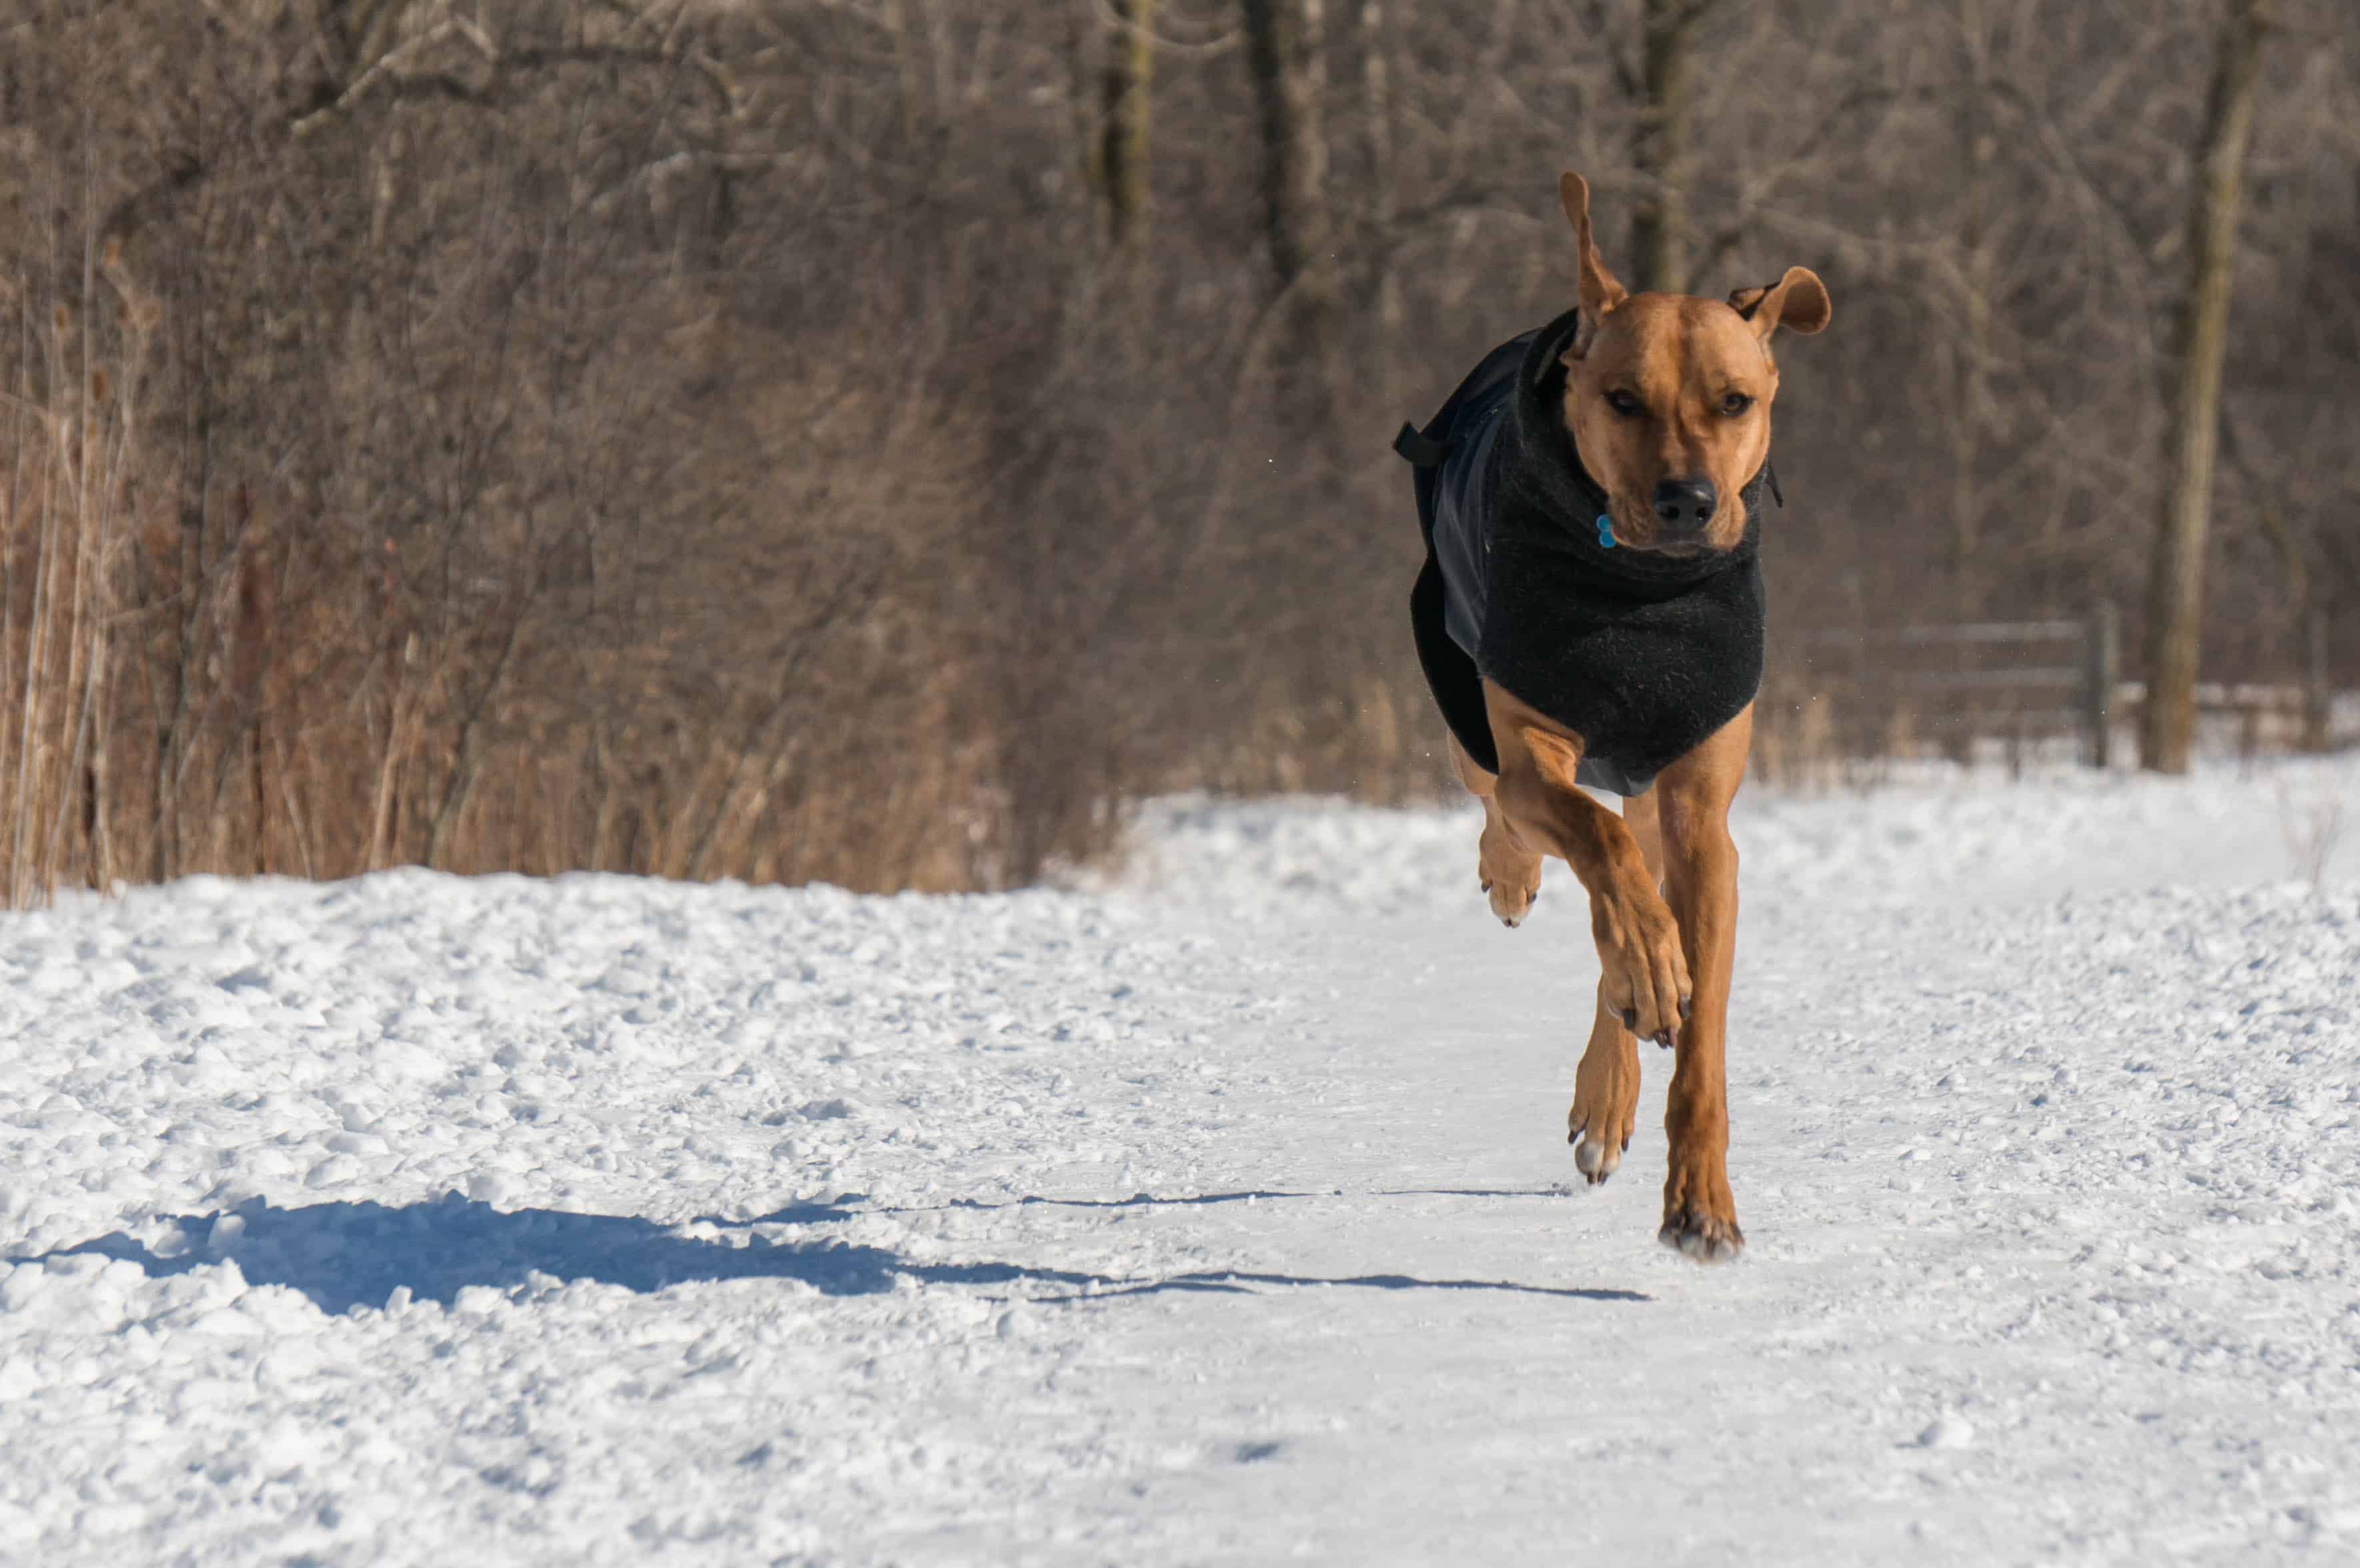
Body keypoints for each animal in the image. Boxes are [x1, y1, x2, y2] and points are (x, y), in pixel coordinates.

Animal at [1397, 176, 1821, 1264]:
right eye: (1624, 399)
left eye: (1735, 401)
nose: (1687, 501)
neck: (1638, 593)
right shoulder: (1531, 746)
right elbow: (1588, 839)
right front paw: (1634, 948)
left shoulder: (1702, 810)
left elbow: (1702, 1025)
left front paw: (1702, 1199)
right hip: (1467, 709)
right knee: (1519, 813)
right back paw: (1529, 890)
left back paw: (1617, 1070)